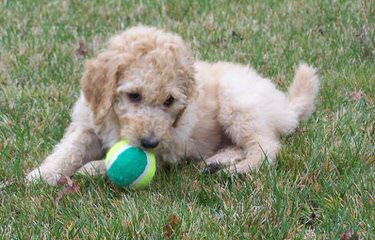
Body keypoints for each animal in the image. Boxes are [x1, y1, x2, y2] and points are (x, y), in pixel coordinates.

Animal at [26, 25, 320, 186]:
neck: (116, 120)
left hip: (236, 102)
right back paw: (216, 161)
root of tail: (285, 105)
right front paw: (41, 175)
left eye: (169, 101)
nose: (149, 142)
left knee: (266, 146)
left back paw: (239, 169)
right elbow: (68, 150)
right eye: (134, 96)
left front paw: (92, 168)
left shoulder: (170, 145)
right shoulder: (88, 123)